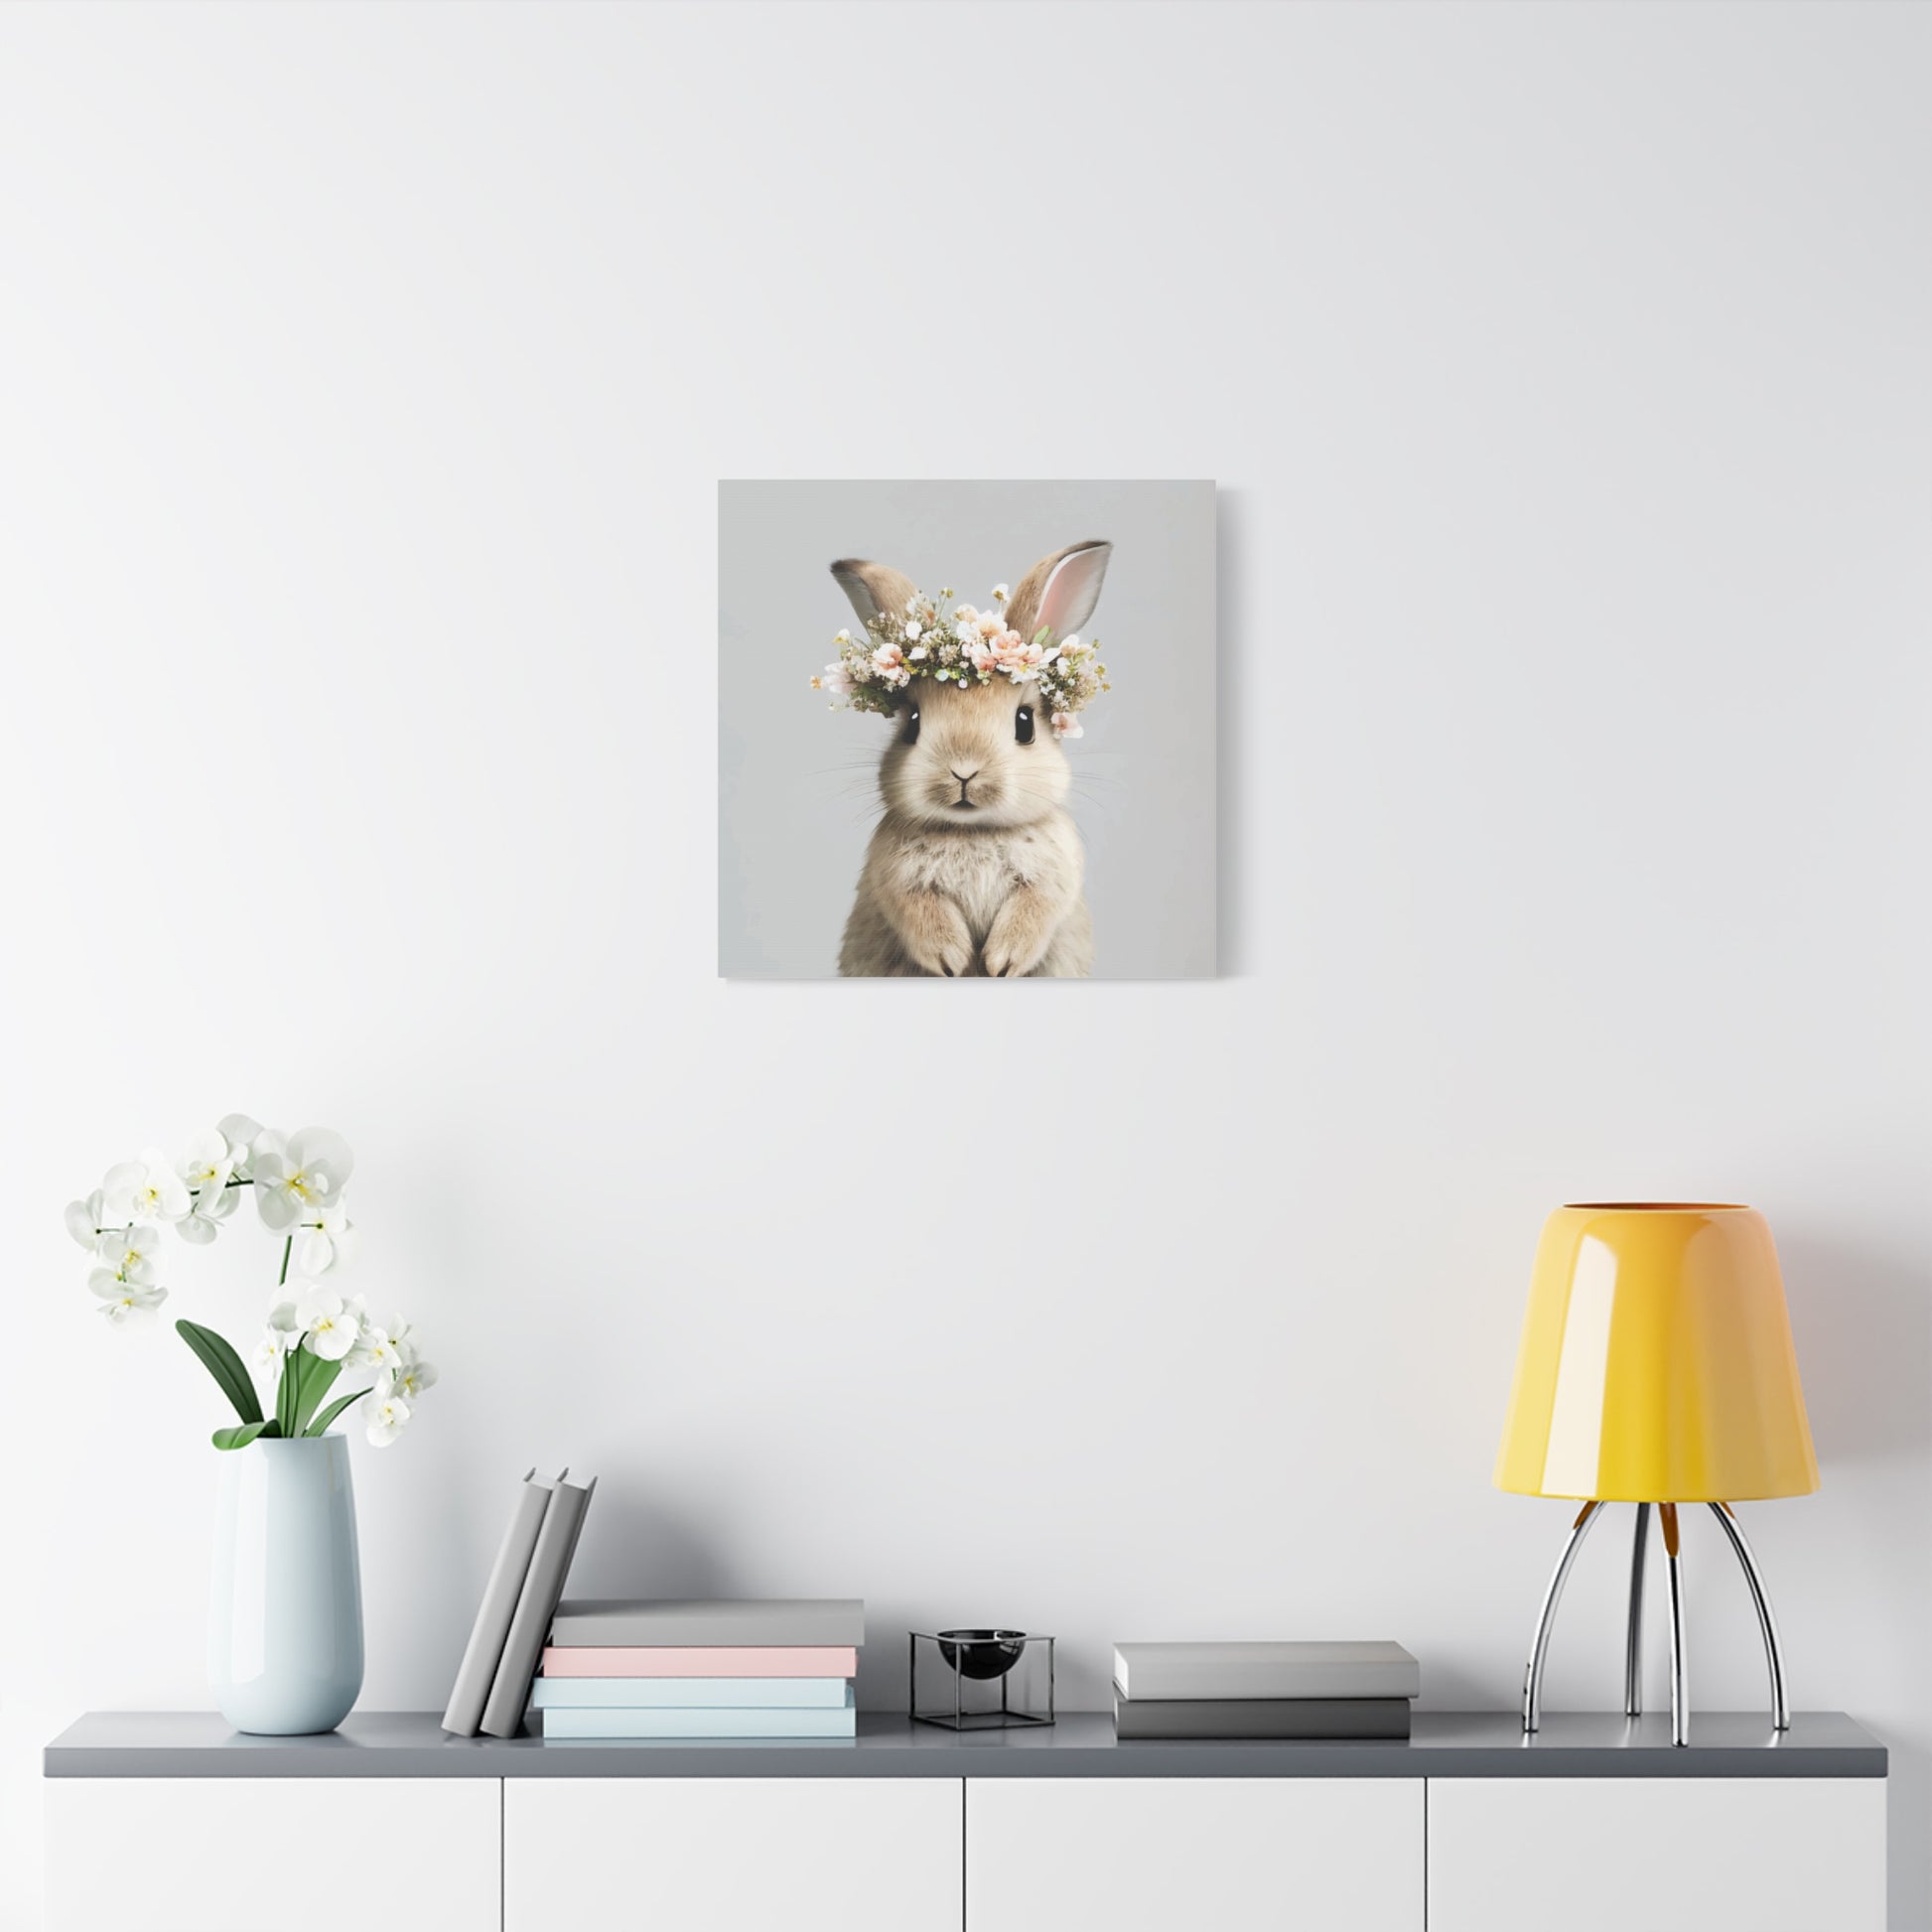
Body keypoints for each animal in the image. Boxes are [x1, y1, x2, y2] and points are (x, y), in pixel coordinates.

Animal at [829, 539, 1111, 978]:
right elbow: (920, 913)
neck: (974, 831)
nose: (964, 771)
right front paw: (953, 961)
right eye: (912, 724)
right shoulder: (898, 882)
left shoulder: (1052, 880)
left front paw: (1001, 963)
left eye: (1025, 724)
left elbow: (1033, 911)